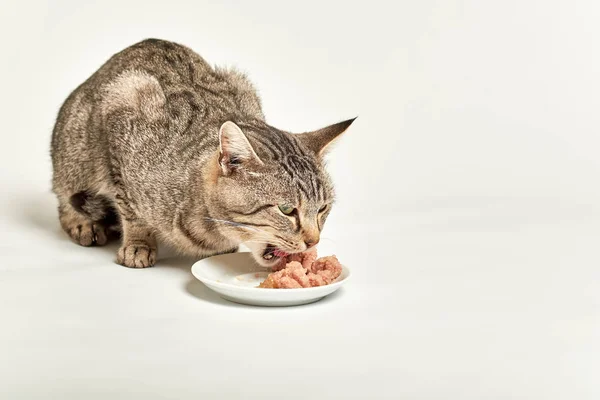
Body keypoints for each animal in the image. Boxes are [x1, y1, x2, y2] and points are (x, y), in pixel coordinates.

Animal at [51, 38, 354, 268]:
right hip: (74, 152)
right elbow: (129, 207)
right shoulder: (123, 106)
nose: (314, 241)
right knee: (64, 195)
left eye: (323, 208)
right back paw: (83, 223)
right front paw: (138, 243)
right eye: (287, 210)